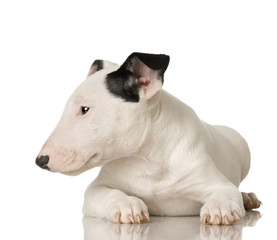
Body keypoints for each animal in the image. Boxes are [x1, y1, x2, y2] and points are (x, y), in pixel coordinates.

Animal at [35, 52, 260, 225]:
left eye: (84, 109)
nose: (40, 161)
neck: (145, 159)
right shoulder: (96, 189)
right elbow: (105, 192)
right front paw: (126, 205)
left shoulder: (212, 180)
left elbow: (226, 191)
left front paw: (219, 208)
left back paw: (247, 197)